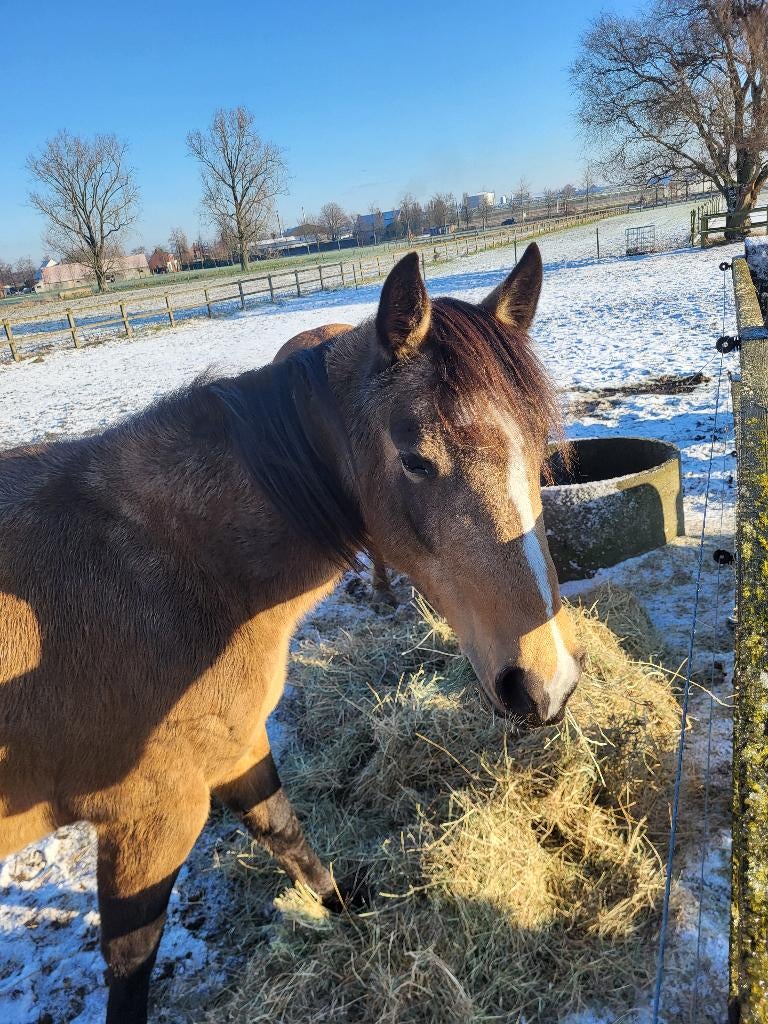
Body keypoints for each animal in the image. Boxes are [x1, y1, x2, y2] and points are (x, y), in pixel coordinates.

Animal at [0, 243, 582, 1023]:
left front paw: (347, 908)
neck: (172, 571)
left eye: (540, 447)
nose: (547, 685)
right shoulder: (151, 817)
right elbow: (131, 963)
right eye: (416, 459)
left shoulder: (238, 748)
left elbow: (288, 836)